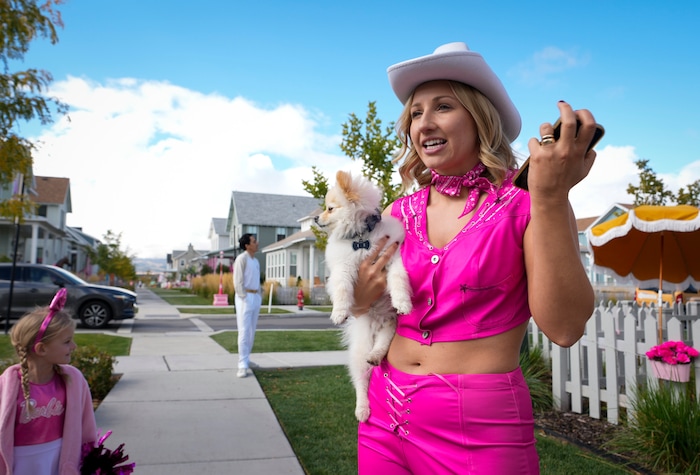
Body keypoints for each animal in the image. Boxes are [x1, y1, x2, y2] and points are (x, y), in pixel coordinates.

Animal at [314, 170, 412, 420]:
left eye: (330, 208)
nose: (316, 218)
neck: (359, 238)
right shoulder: (343, 268)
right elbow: (342, 289)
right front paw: (339, 313)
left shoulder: (392, 258)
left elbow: (398, 279)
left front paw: (403, 301)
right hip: (361, 348)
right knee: (360, 381)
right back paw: (362, 408)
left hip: (389, 326)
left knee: (382, 345)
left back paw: (376, 356)